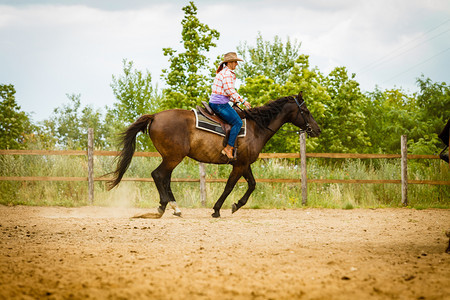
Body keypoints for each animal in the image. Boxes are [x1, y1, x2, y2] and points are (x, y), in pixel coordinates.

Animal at [108, 91, 320, 218]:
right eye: (306, 110)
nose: (317, 129)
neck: (256, 127)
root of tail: (155, 117)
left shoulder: (244, 164)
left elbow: (252, 185)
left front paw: (237, 205)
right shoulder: (239, 165)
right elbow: (229, 186)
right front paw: (217, 209)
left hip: (170, 158)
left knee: (165, 179)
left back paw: (175, 208)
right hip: (173, 157)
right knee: (158, 175)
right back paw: (163, 207)